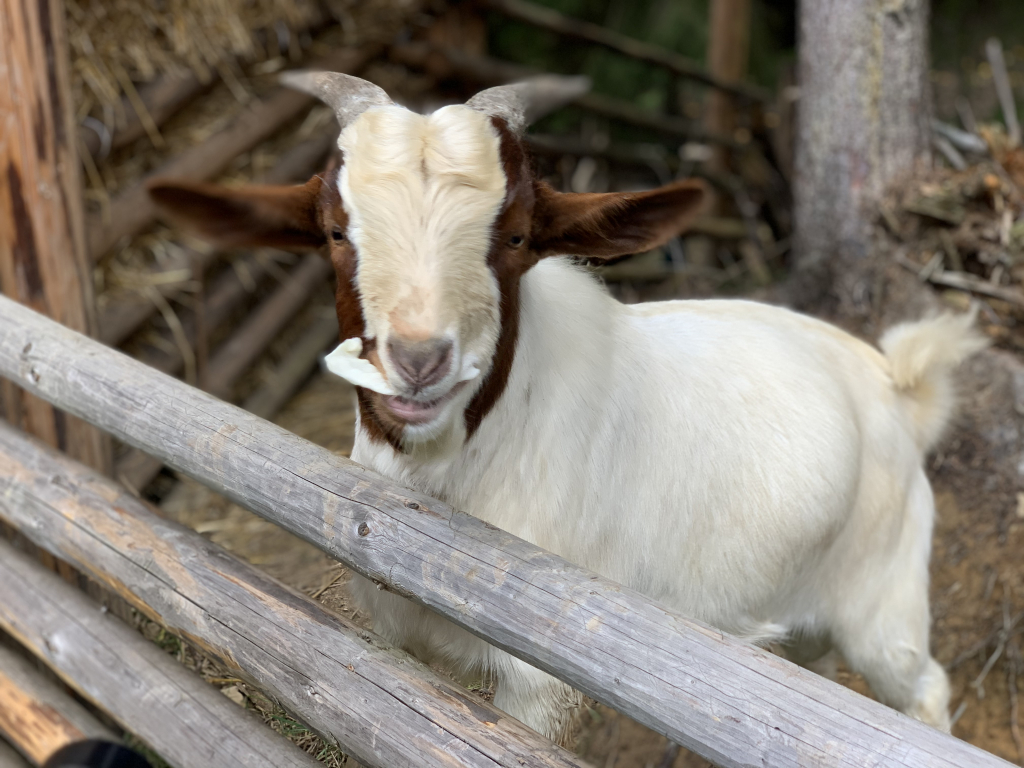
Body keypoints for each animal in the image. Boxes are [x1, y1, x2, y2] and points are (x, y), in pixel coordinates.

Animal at [148, 72, 985, 743]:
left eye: (516, 235)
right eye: (333, 231)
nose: (418, 360)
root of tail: (897, 383)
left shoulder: (545, 675)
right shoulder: (391, 636)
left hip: (885, 600)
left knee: (921, 687)